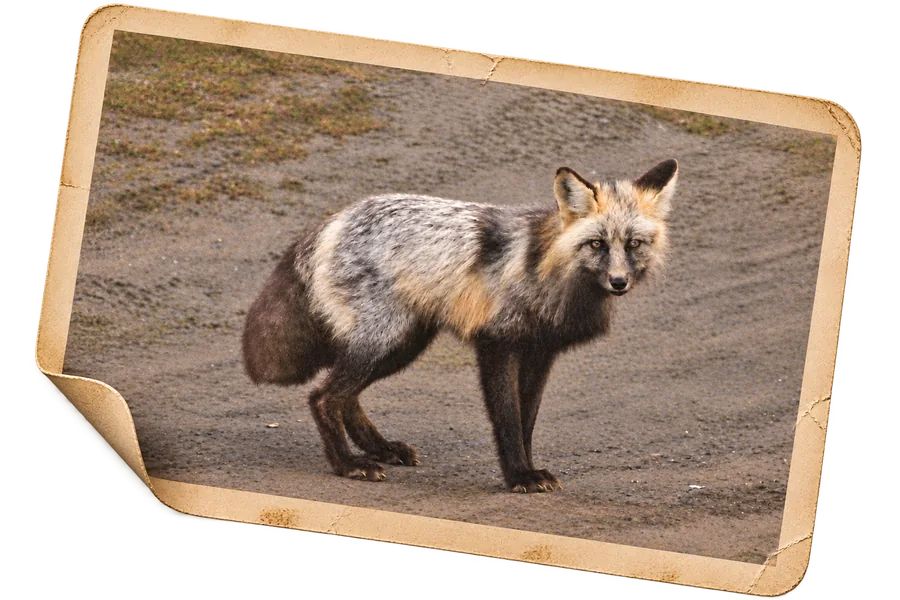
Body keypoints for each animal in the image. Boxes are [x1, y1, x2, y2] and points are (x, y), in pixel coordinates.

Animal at [242, 158, 678, 493]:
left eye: (633, 244)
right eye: (597, 244)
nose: (619, 282)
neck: (550, 275)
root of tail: (336, 217)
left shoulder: (541, 352)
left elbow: (527, 420)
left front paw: (526, 469)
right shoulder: (498, 343)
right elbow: (508, 418)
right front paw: (518, 476)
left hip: (403, 344)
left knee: (345, 397)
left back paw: (381, 450)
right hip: (384, 340)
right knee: (324, 397)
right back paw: (348, 464)